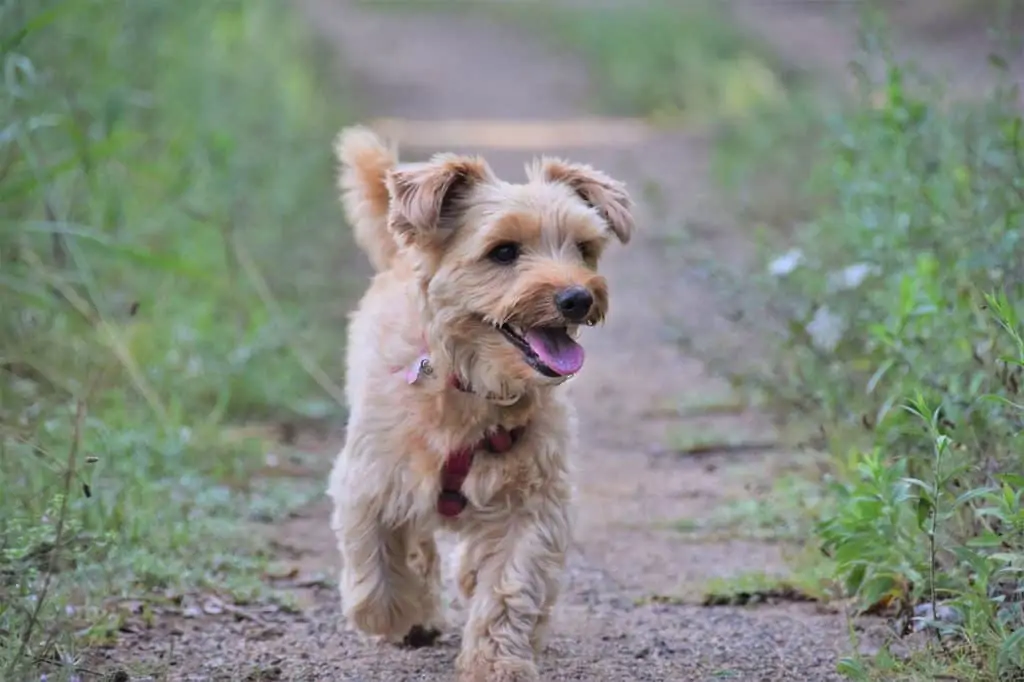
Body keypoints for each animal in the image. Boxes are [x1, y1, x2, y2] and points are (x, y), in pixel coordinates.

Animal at [327, 123, 630, 679]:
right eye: (504, 252)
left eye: (583, 248)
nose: (578, 297)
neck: (473, 388)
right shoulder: (369, 479)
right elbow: (375, 561)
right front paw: (395, 613)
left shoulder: (533, 504)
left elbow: (510, 587)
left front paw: (497, 661)